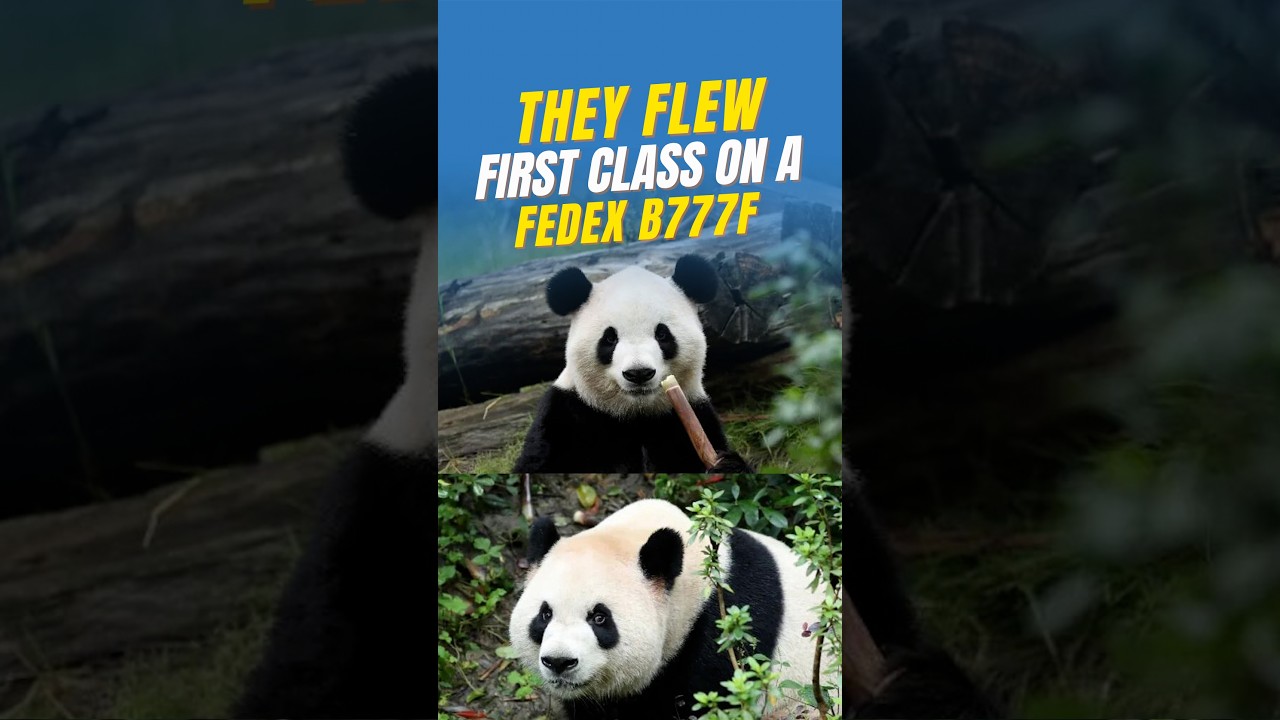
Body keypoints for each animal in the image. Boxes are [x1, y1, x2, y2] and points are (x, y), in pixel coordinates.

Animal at [513, 258, 752, 473]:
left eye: (662, 334)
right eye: (610, 338)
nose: (639, 373)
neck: (636, 415)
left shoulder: (690, 415)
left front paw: (729, 466)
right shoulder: (566, 416)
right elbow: (540, 462)